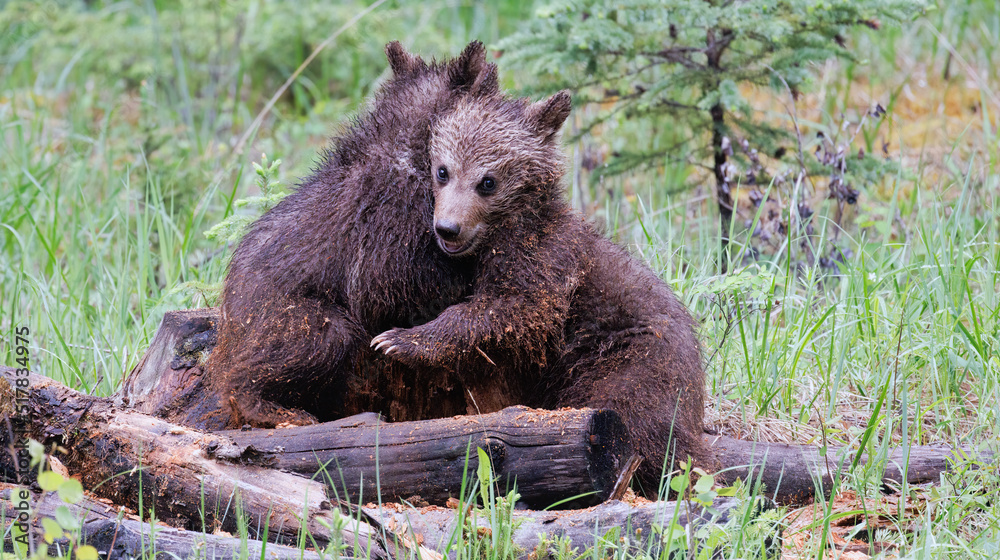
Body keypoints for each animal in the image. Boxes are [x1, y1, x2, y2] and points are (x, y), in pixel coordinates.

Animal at [205, 41, 718, 487]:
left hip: (626, 361)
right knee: (314, 341)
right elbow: (397, 285)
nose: (448, 230)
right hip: (282, 315)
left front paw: (403, 340)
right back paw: (279, 409)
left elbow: (509, 304)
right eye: (444, 172)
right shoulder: (386, 227)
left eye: (487, 182)